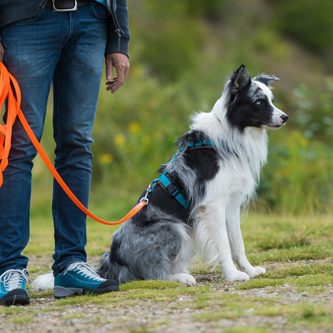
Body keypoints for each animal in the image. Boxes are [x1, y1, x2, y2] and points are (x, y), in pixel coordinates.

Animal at [32, 63, 288, 290]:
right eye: (259, 102)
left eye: (272, 100)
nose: (285, 117)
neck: (232, 134)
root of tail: (113, 260)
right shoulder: (212, 206)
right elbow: (224, 244)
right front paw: (234, 275)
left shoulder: (231, 205)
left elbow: (238, 242)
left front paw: (250, 270)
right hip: (174, 227)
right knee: (153, 274)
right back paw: (180, 278)